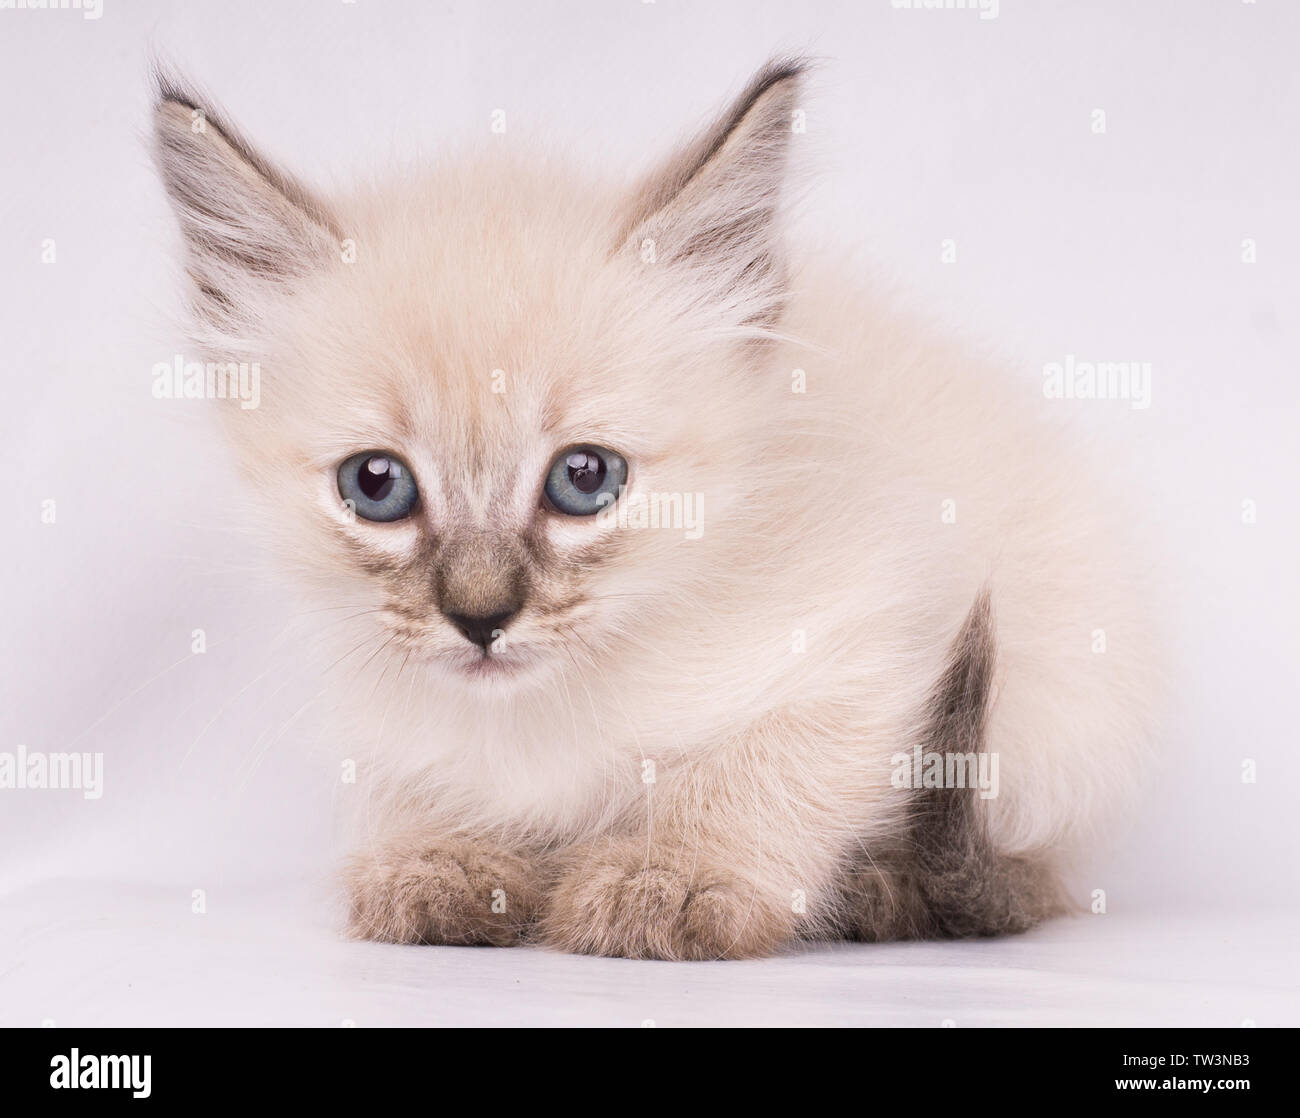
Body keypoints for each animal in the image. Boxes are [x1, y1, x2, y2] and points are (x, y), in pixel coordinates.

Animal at [152, 56, 1159, 956]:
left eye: (583, 478)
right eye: (377, 486)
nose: (480, 619)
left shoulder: (866, 656)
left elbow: (754, 778)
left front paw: (667, 880)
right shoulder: (401, 734)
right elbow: (426, 795)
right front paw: (445, 864)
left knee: (1028, 875)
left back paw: (880, 892)